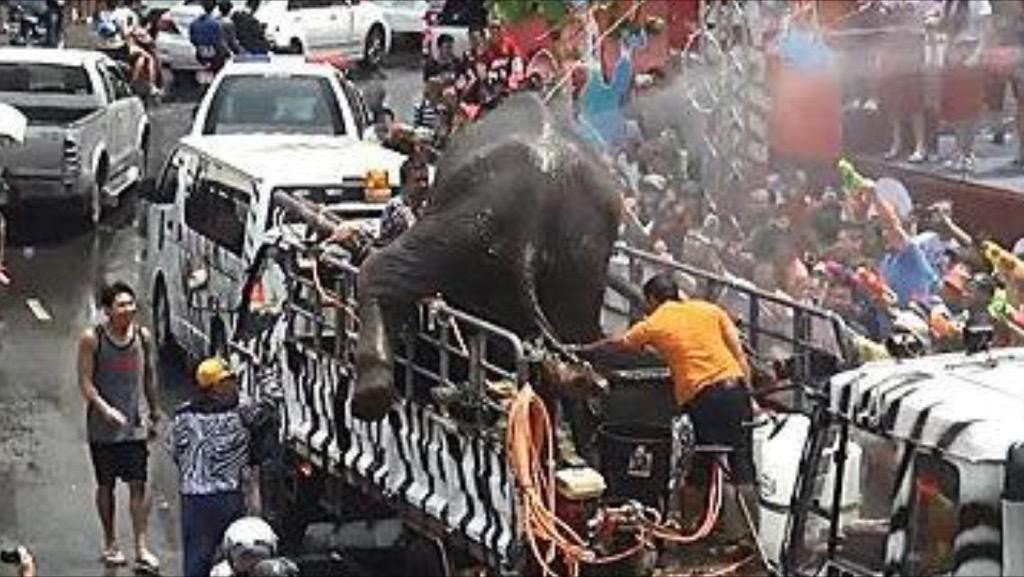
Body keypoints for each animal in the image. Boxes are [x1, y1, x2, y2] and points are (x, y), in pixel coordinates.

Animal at [351, 92, 623, 422]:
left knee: (381, 269)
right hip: (580, 258)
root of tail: (531, 225)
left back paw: (369, 400)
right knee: (580, 335)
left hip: (469, 223)